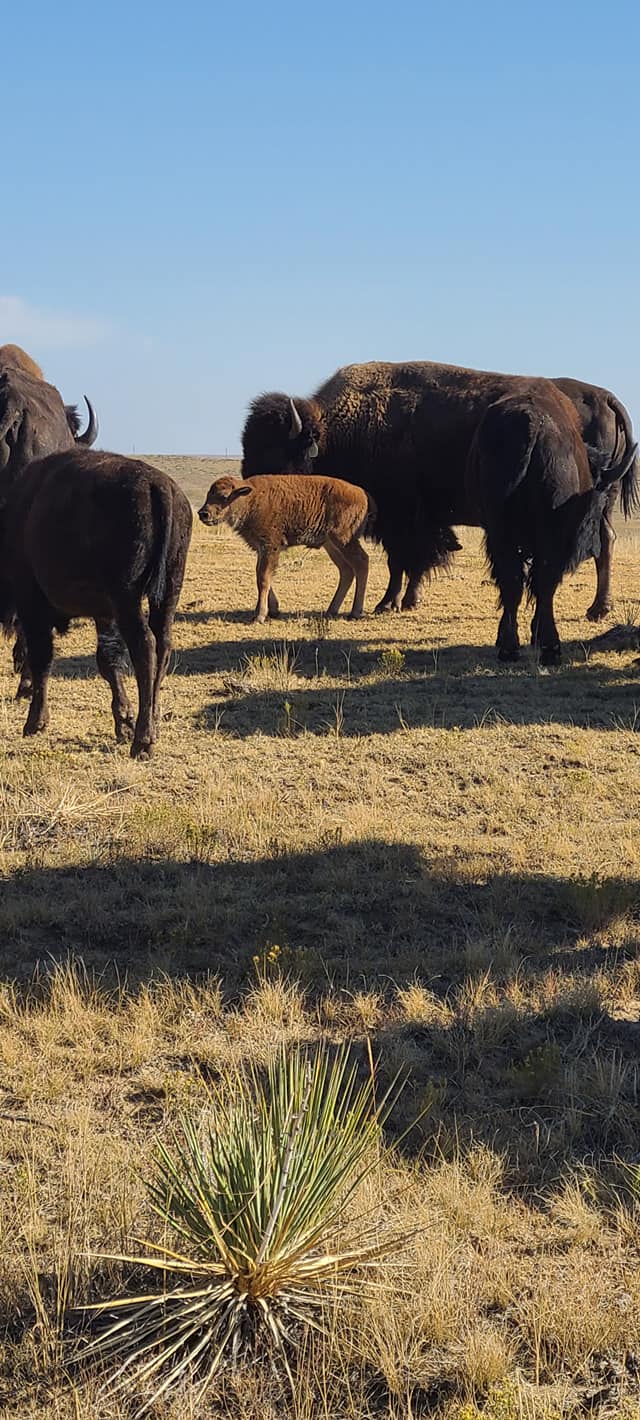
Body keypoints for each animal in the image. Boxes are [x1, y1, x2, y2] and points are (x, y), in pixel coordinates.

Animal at [0, 449, 192, 758]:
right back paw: (152, 726)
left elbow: (42, 657)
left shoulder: (32, 603)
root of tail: (158, 485)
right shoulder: (104, 614)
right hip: (167, 592)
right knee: (162, 645)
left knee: (145, 646)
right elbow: (108, 662)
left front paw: (34, 723)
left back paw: (143, 741)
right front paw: (123, 721)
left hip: (127, 597)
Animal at [240, 361, 637, 631]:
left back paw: (596, 608)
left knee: (601, 543)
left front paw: (389, 603)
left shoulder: (403, 518)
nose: (252, 487)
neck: (342, 426)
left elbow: (402, 561)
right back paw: (598, 608)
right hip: (602, 502)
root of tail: (605, 397)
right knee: (607, 540)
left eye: (277, 454)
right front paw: (406, 601)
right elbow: (412, 562)